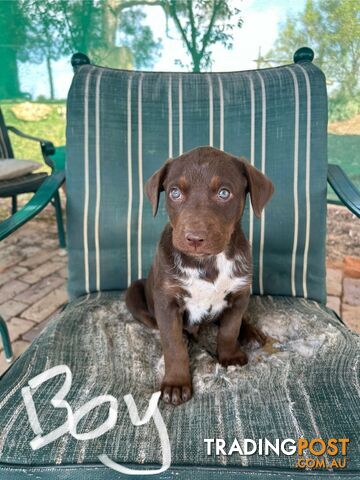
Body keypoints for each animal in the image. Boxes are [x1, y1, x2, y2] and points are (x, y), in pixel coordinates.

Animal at [125, 146, 274, 404]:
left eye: (224, 193)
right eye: (174, 193)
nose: (194, 238)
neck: (207, 262)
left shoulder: (240, 291)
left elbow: (229, 328)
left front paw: (230, 355)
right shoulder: (166, 301)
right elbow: (173, 344)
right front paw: (176, 383)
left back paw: (251, 333)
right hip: (134, 292)